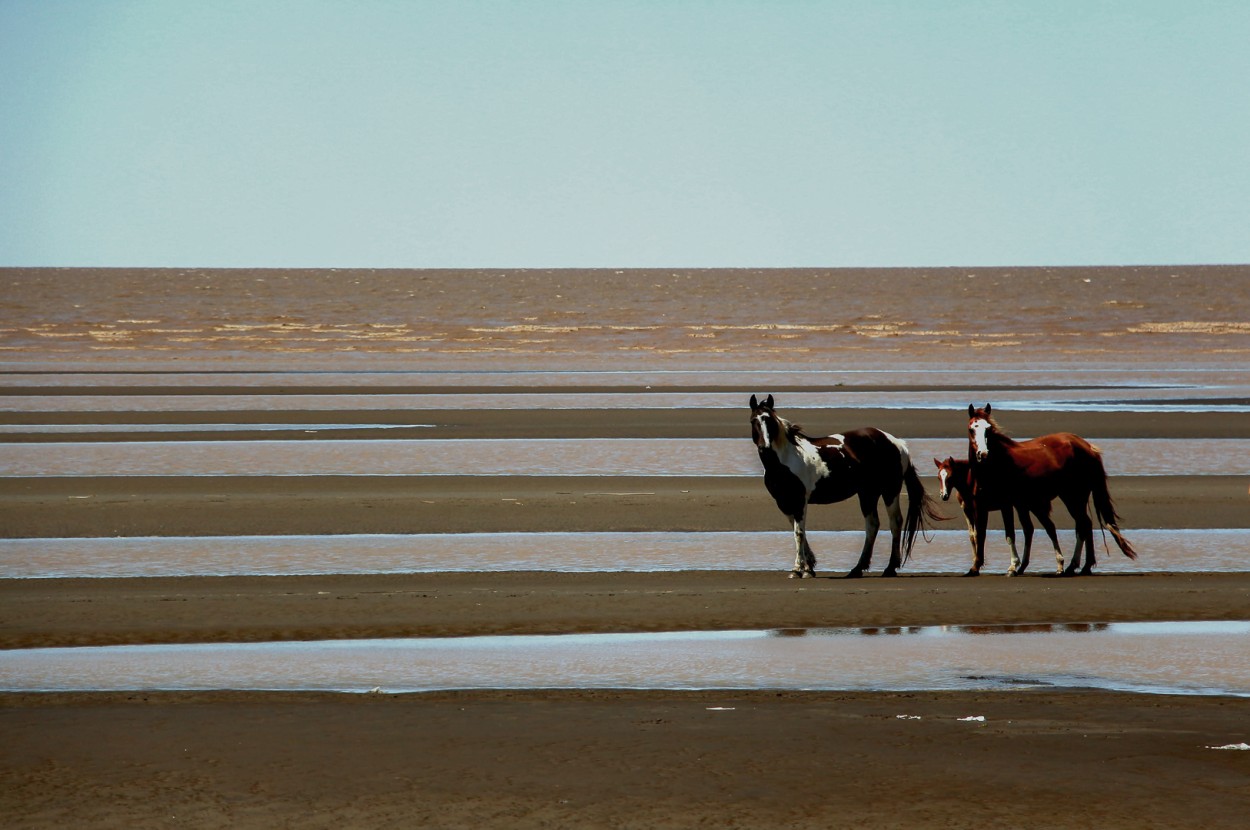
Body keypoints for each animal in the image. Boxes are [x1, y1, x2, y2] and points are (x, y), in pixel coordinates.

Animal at [965, 402, 1145, 577]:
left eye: (988, 429)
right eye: (972, 429)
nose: (983, 454)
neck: (991, 468)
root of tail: (1086, 446)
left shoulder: (1006, 505)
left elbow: (1010, 534)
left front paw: (1012, 567)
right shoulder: (980, 506)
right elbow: (980, 534)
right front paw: (975, 567)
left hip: (1072, 497)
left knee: (1083, 524)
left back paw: (1076, 565)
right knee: (1084, 525)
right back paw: (1082, 566)